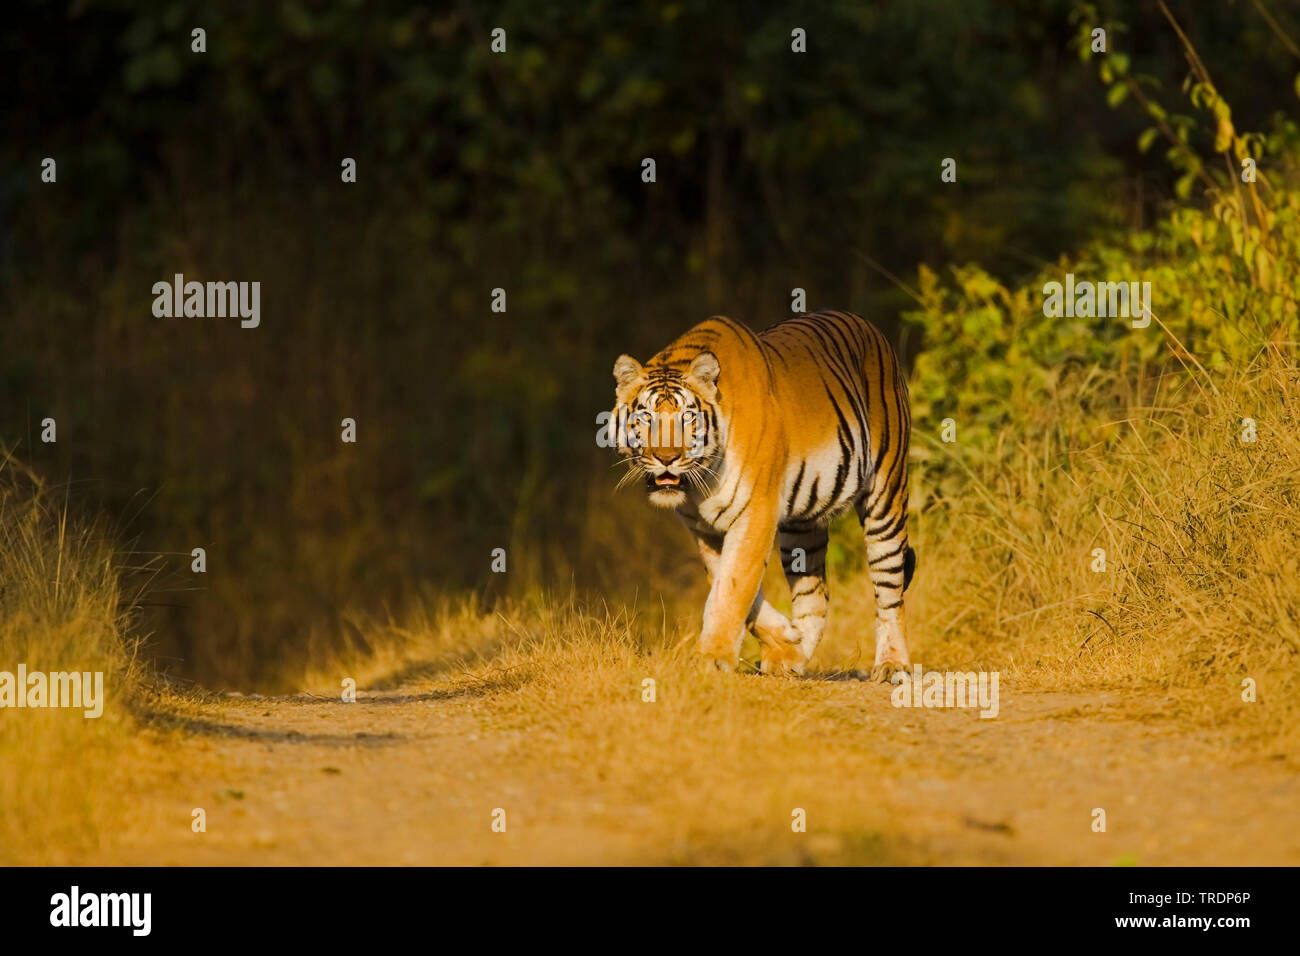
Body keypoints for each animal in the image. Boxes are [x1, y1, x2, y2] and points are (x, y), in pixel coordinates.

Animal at [610, 310, 915, 680]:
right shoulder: (703, 528)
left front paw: (713, 657)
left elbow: (734, 584)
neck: (699, 486)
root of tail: (870, 327)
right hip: (802, 526)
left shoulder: (756, 510)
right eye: (645, 418)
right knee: (815, 595)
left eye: (688, 418)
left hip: (885, 496)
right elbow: (730, 584)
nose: (666, 458)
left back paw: (892, 664)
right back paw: (793, 659)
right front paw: (785, 640)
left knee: (890, 590)